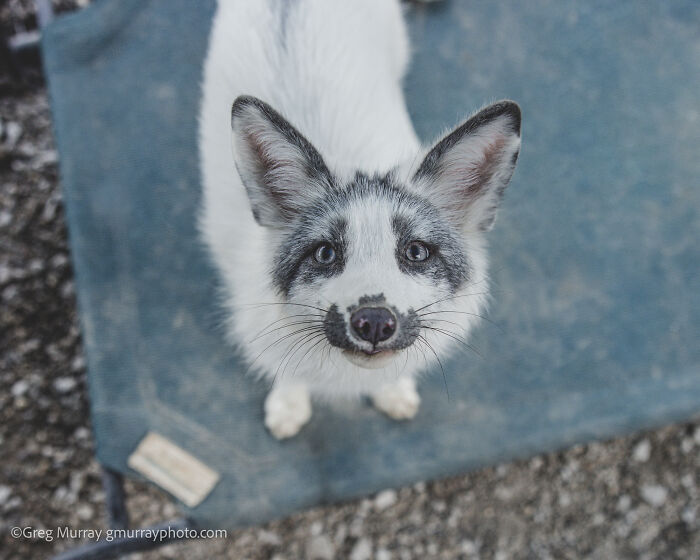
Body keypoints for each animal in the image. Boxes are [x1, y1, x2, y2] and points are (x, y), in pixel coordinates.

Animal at [199, 0, 521, 439]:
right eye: (325, 253)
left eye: (416, 252)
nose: (374, 323)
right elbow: (287, 370)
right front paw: (288, 403)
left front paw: (392, 391)